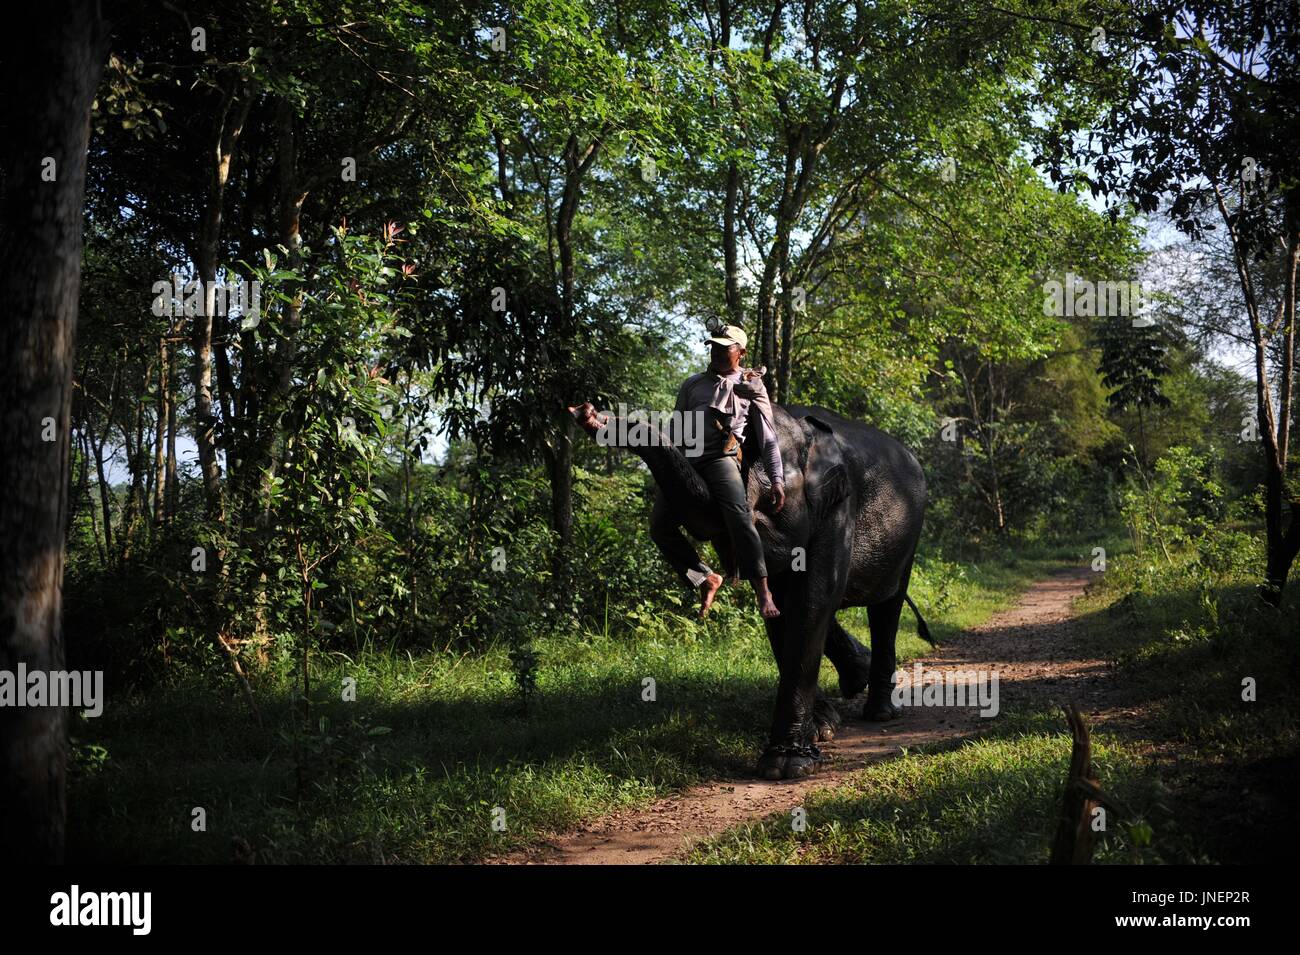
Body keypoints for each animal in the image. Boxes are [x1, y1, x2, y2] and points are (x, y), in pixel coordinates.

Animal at [572, 400, 935, 779]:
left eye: (767, 496)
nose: (591, 414)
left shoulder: (838, 507)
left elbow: (814, 599)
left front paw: (783, 766)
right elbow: (781, 608)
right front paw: (819, 731)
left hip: (910, 535)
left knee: (887, 607)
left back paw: (879, 711)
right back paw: (856, 678)